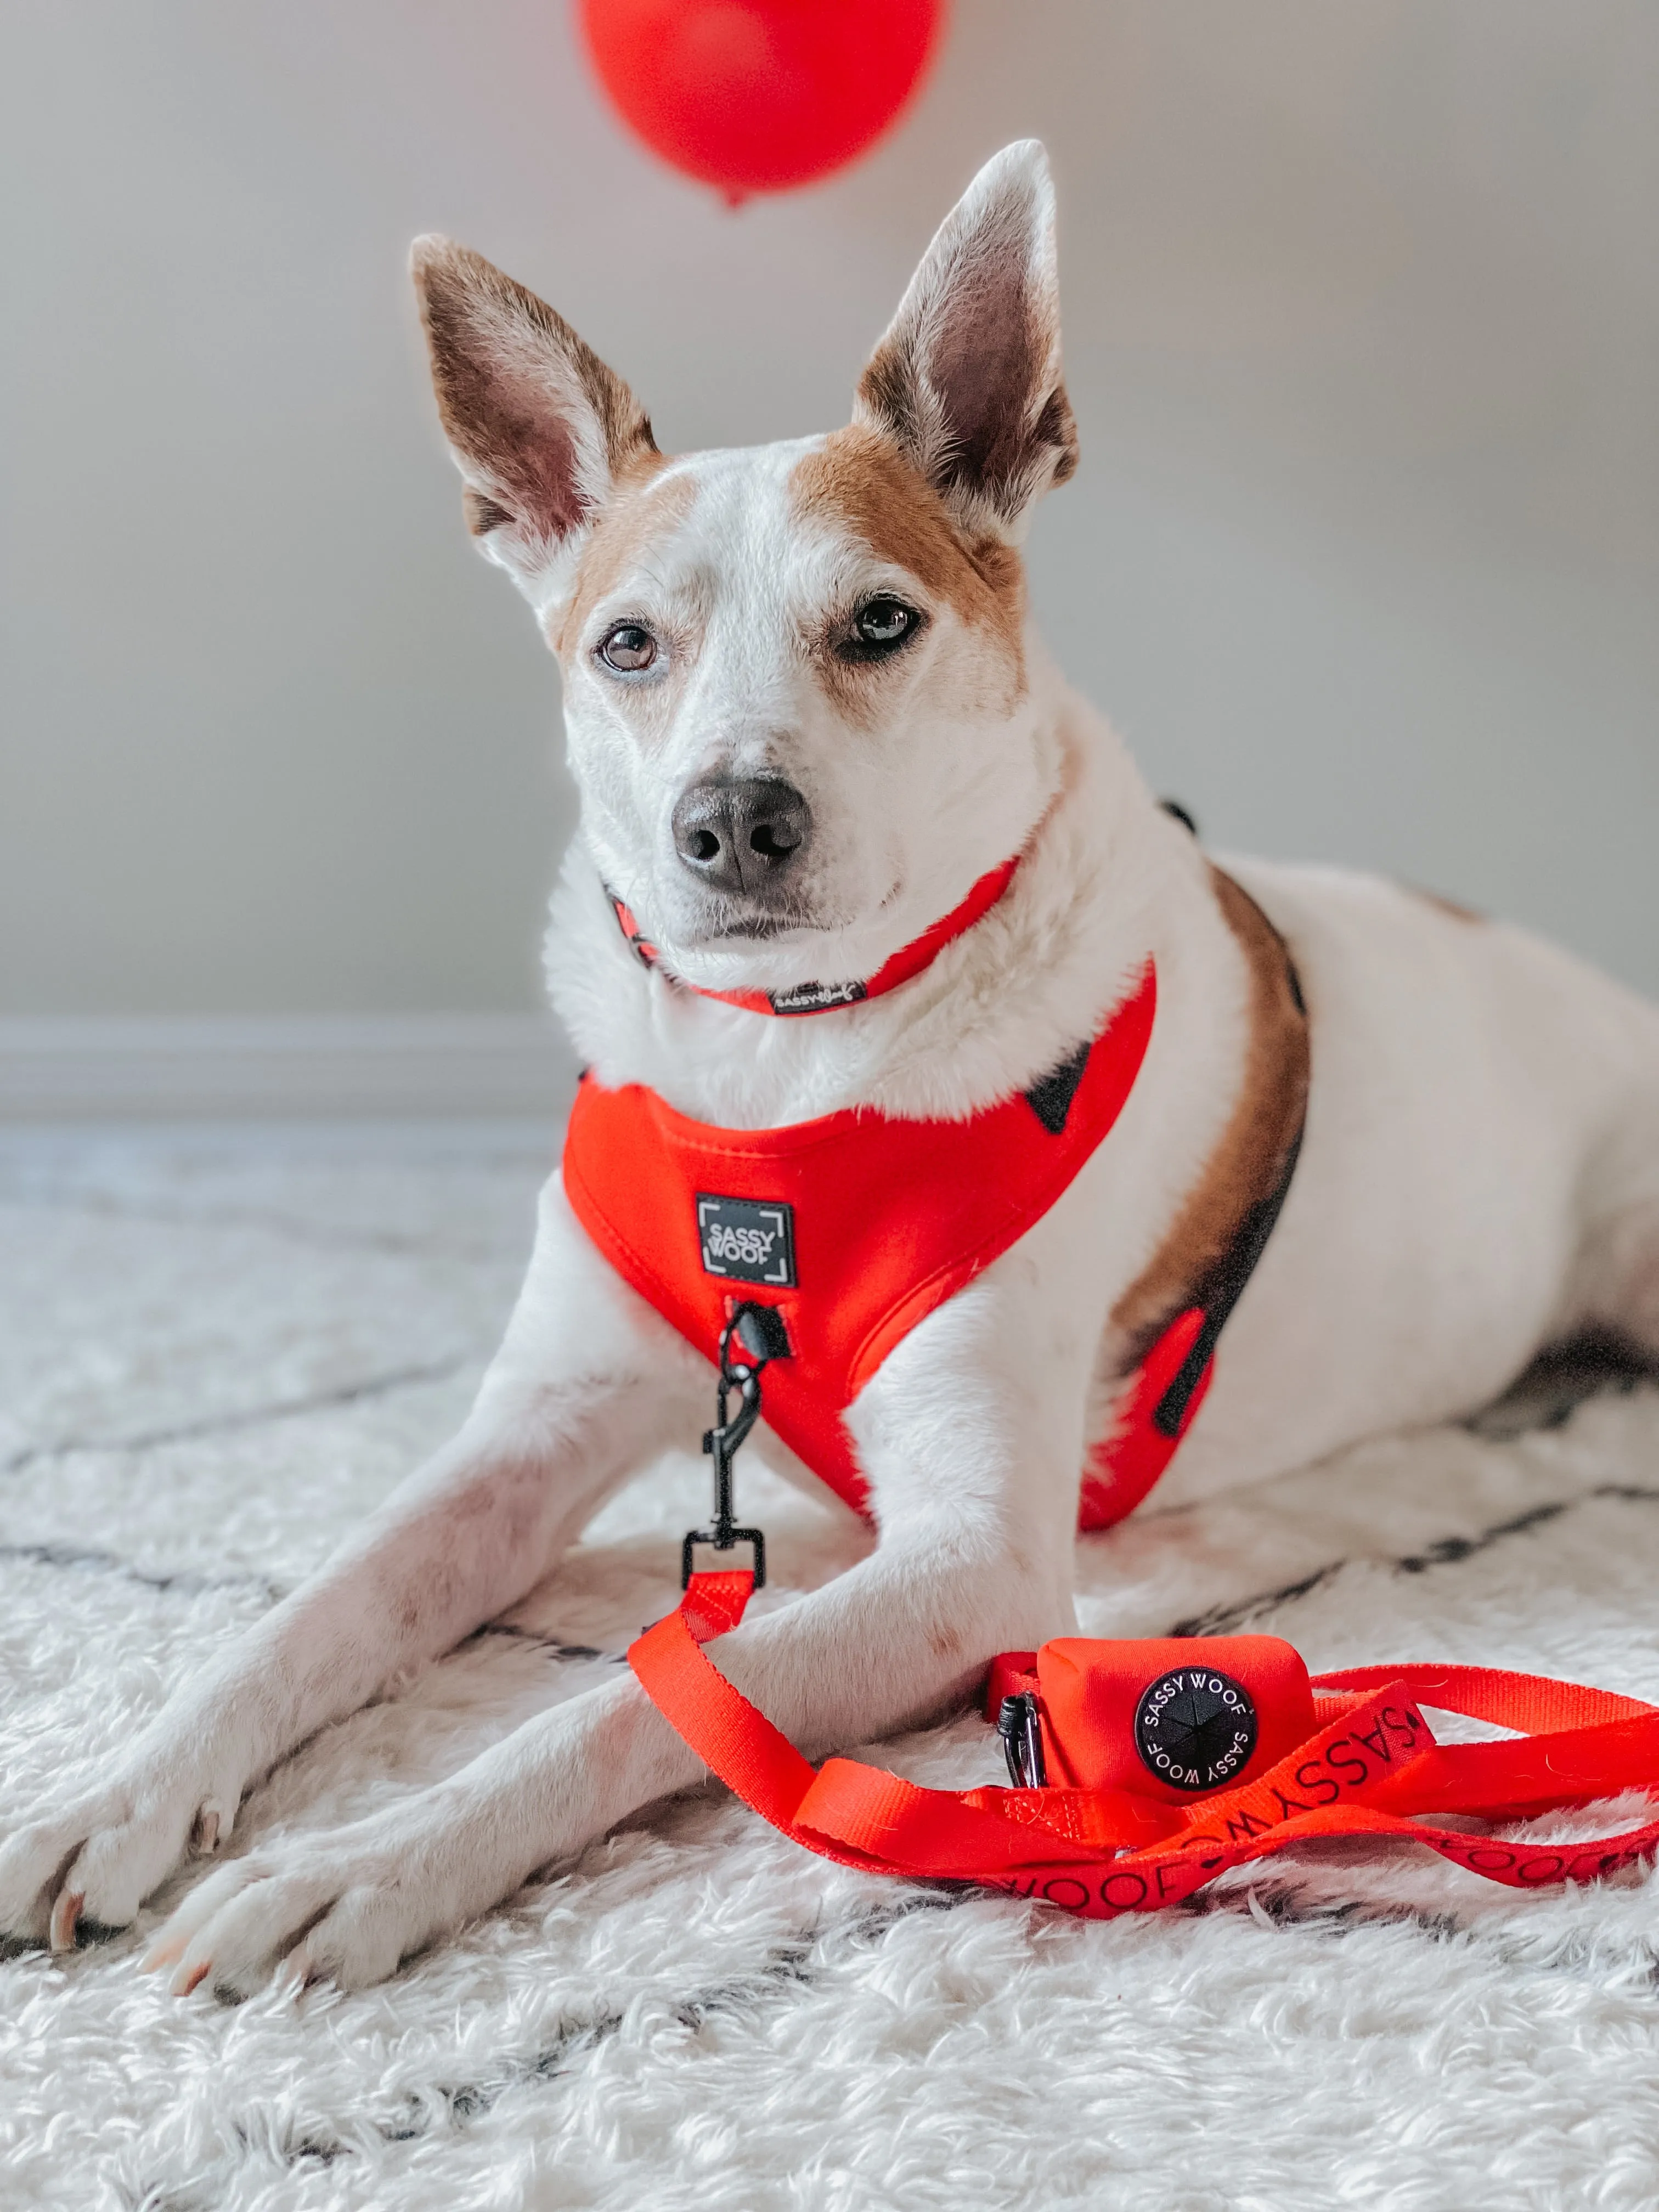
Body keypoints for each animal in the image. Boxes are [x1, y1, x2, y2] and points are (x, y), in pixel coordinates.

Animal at [3, 147, 1659, 1999]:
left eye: (880, 621)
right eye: (627, 646)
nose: (732, 822)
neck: (779, 1052)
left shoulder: (973, 1563)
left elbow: (630, 1708)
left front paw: (365, 1863)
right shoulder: (531, 1433)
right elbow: (306, 1618)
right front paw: (116, 1794)